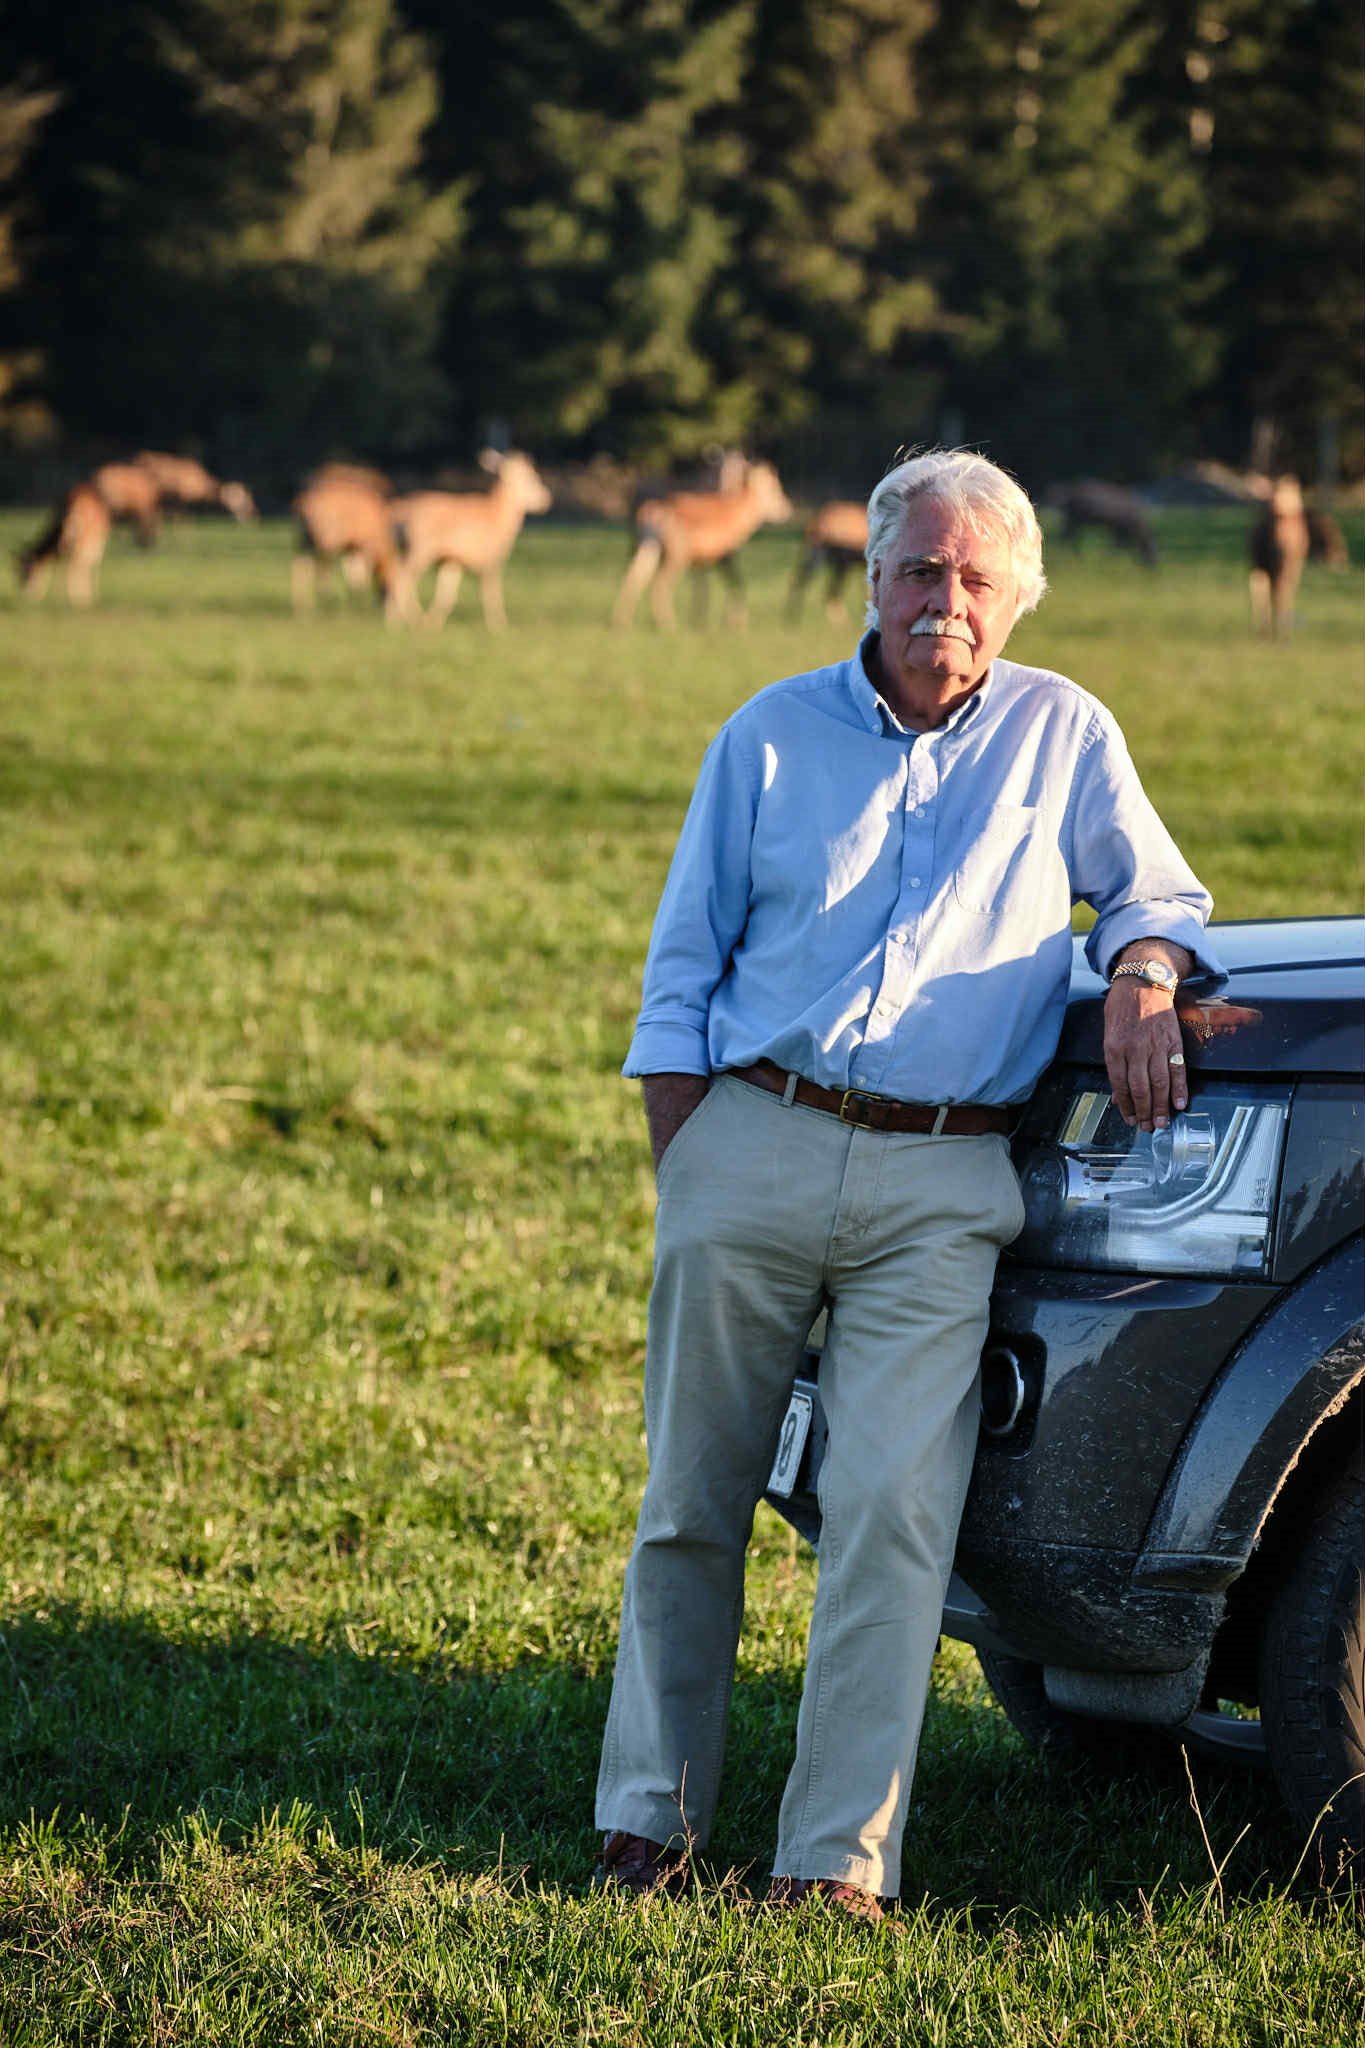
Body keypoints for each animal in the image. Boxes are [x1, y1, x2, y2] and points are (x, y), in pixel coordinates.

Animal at [291, 464, 413, 621]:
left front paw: (355, 599)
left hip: (305, 540)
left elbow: (353, 576)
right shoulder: (367, 546)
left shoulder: (352, 548)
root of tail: (303, 503)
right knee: (322, 569)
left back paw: (303, 606)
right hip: (326, 541)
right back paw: (326, 599)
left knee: (300, 566)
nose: (383, 601)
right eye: (392, 585)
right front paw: (362, 603)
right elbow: (362, 575)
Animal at [389, 450, 552, 630]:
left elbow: (447, 594)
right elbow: (491, 593)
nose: (546, 499)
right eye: (531, 477)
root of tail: (398, 512)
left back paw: (406, 618)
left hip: (404, 548)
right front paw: (498, 625)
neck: (498, 516)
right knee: (402, 577)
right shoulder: (491, 557)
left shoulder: (452, 560)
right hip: (421, 548)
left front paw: (435, 623)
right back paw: (402, 620)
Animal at [612, 459, 794, 628]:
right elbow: (737, 584)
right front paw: (736, 625)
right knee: (659, 584)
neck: (735, 515)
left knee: (633, 576)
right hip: (677, 551)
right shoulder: (722, 555)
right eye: (774, 489)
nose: (787, 510)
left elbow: (703, 590)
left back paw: (622, 622)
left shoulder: (702, 560)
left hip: (648, 546)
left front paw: (700, 624)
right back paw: (669, 625)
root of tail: (651, 511)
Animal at [1248, 475, 1310, 637]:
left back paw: (1276, 631)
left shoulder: (1260, 563)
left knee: (1273, 589)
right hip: (1288, 564)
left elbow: (1262, 590)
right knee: (1283, 590)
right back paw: (1282, 632)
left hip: (1273, 564)